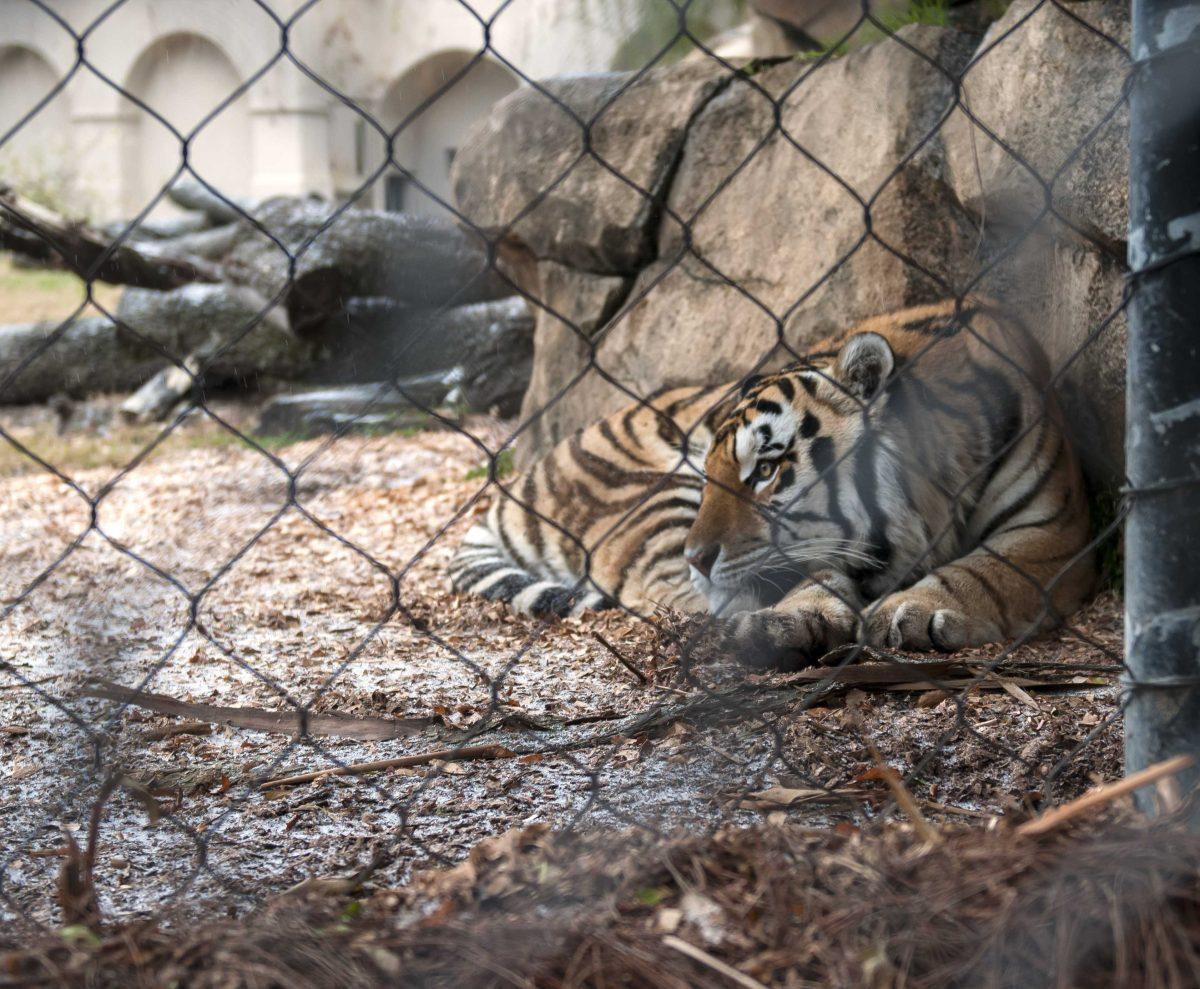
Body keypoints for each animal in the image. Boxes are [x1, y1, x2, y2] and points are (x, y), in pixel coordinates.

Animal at [446, 297, 1094, 667]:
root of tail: (522, 481)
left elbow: (985, 570)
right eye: (713, 472)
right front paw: (797, 617)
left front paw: (917, 607)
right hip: (653, 497)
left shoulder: (1055, 528)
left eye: (765, 469)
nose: (698, 558)